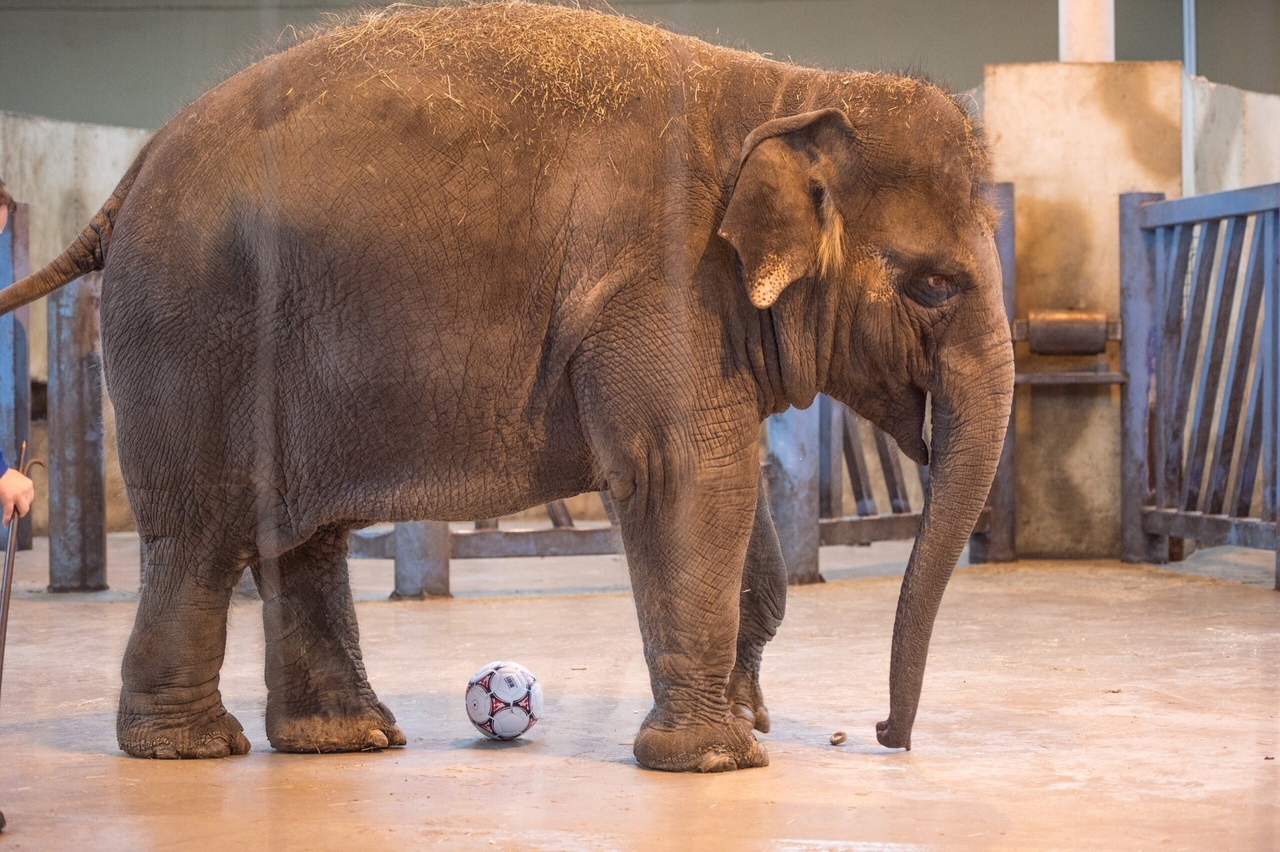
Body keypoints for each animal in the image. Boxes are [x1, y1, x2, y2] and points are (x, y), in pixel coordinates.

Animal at [0, 1, 1013, 767]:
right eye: (933, 289)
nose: (883, 734)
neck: (793, 90)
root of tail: (128, 175)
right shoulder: (664, 283)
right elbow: (685, 478)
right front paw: (722, 758)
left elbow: (737, 488)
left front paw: (744, 719)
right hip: (190, 329)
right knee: (199, 535)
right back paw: (192, 751)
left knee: (303, 537)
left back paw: (343, 740)